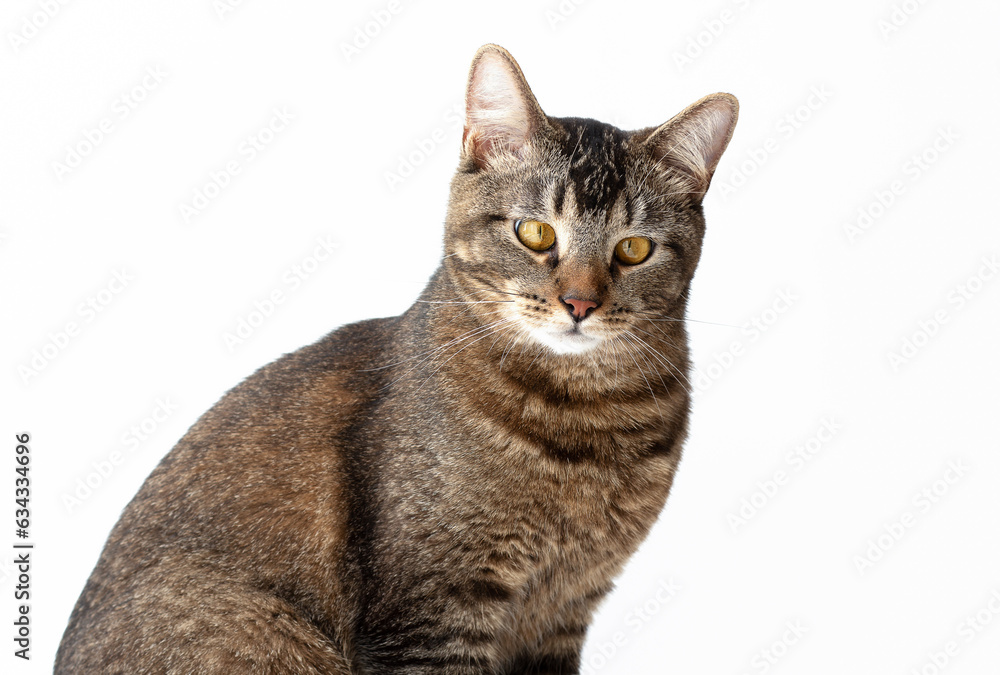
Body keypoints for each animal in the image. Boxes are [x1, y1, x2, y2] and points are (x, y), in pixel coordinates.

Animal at [54, 45, 740, 672]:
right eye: (536, 232)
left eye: (633, 249)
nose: (580, 303)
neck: (586, 425)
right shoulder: (431, 613)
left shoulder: (565, 612)